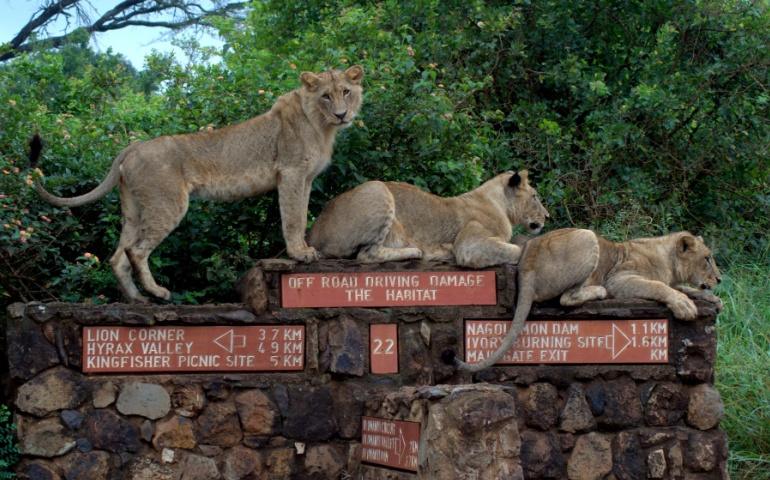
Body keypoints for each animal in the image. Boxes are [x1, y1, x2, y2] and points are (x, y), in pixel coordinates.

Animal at [29, 65, 364, 303]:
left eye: (346, 92)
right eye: (326, 96)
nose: (341, 114)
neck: (322, 126)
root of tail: (134, 146)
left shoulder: (305, 179)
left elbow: (302, 214)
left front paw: (306, 249)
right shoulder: (291, 173)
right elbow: (293, 218)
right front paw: (299, 253)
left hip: (134, 209)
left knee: (117, 257)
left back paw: (137, 300)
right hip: (168, 203)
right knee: (136, 251)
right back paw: (158, 293)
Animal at [307, 171, 549, 267]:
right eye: (535, 196)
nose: (548, 215)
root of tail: (312, 234)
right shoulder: (470, 245)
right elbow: (514, 249)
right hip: (377, 188)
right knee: (367, 255)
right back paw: (417, 251)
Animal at [452, 228, 723, 372]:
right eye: (707, 258)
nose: (720, 279)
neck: (669, 262)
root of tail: (527, 260)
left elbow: (684, 287)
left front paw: (713, 298)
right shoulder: (620, 279)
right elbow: (658, 286)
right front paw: (684, 305)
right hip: (587, 236)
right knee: (566, 298)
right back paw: (598, 291)